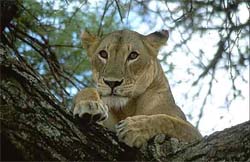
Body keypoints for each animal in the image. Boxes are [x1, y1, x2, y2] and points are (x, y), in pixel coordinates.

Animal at [72, 29, 201, 148]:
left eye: (133, 55)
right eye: (103, 54)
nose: (112, 82)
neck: (127, 108)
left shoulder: (196, 135)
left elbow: (169, 122)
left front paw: (132, 128)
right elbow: (87, 90)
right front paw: (90, 105)